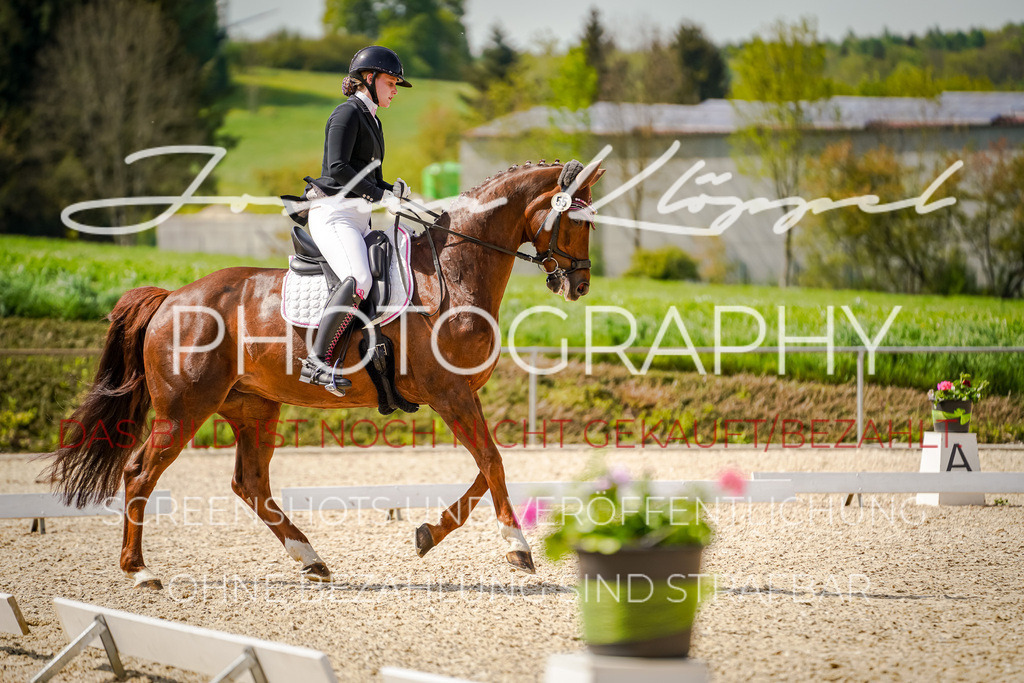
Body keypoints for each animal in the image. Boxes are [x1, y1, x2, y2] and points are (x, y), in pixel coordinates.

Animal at [44, 158, 602, 589]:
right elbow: (492, 462)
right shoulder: (450, 393)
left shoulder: (460, 395)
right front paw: (517, 546)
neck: (454, 271)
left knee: (251, 483)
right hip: (185, 408)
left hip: (253, 407)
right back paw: (139, 570)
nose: (579, 285)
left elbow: (487, 470)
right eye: (581, 219)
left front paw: (428, 533)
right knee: (141, 471)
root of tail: (171, 298)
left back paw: (311, 560)